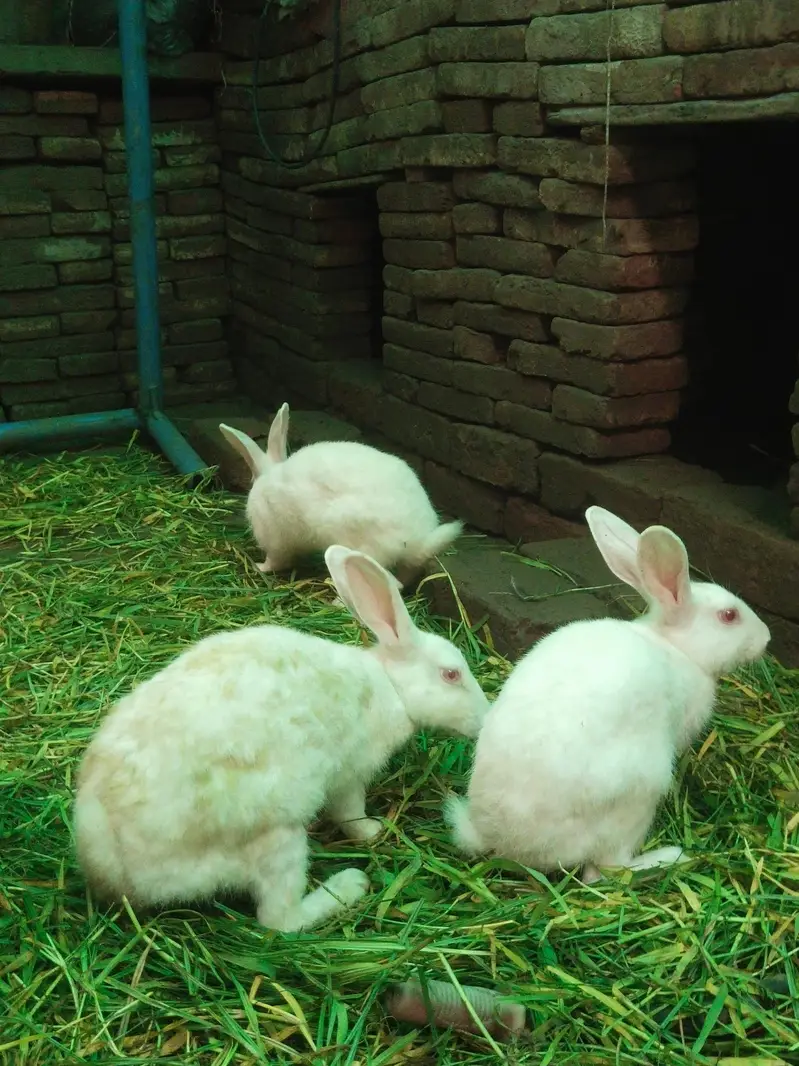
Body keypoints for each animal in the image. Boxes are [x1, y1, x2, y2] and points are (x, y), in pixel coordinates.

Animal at [74, 545, 490, 933]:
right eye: (451, 674)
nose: (485, 720)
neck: (391, 687)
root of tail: (115, 870)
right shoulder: (349, 775)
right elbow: (350, 813)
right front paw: (372, 830)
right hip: (276, 838)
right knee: (280, 920)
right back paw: (349, 885)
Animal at [445, 505, 771, 885]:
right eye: (729, 615)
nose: (766, 638)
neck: (677, 649)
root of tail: (503, 840)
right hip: (639, 791)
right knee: (605, 870)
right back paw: (671, 857)